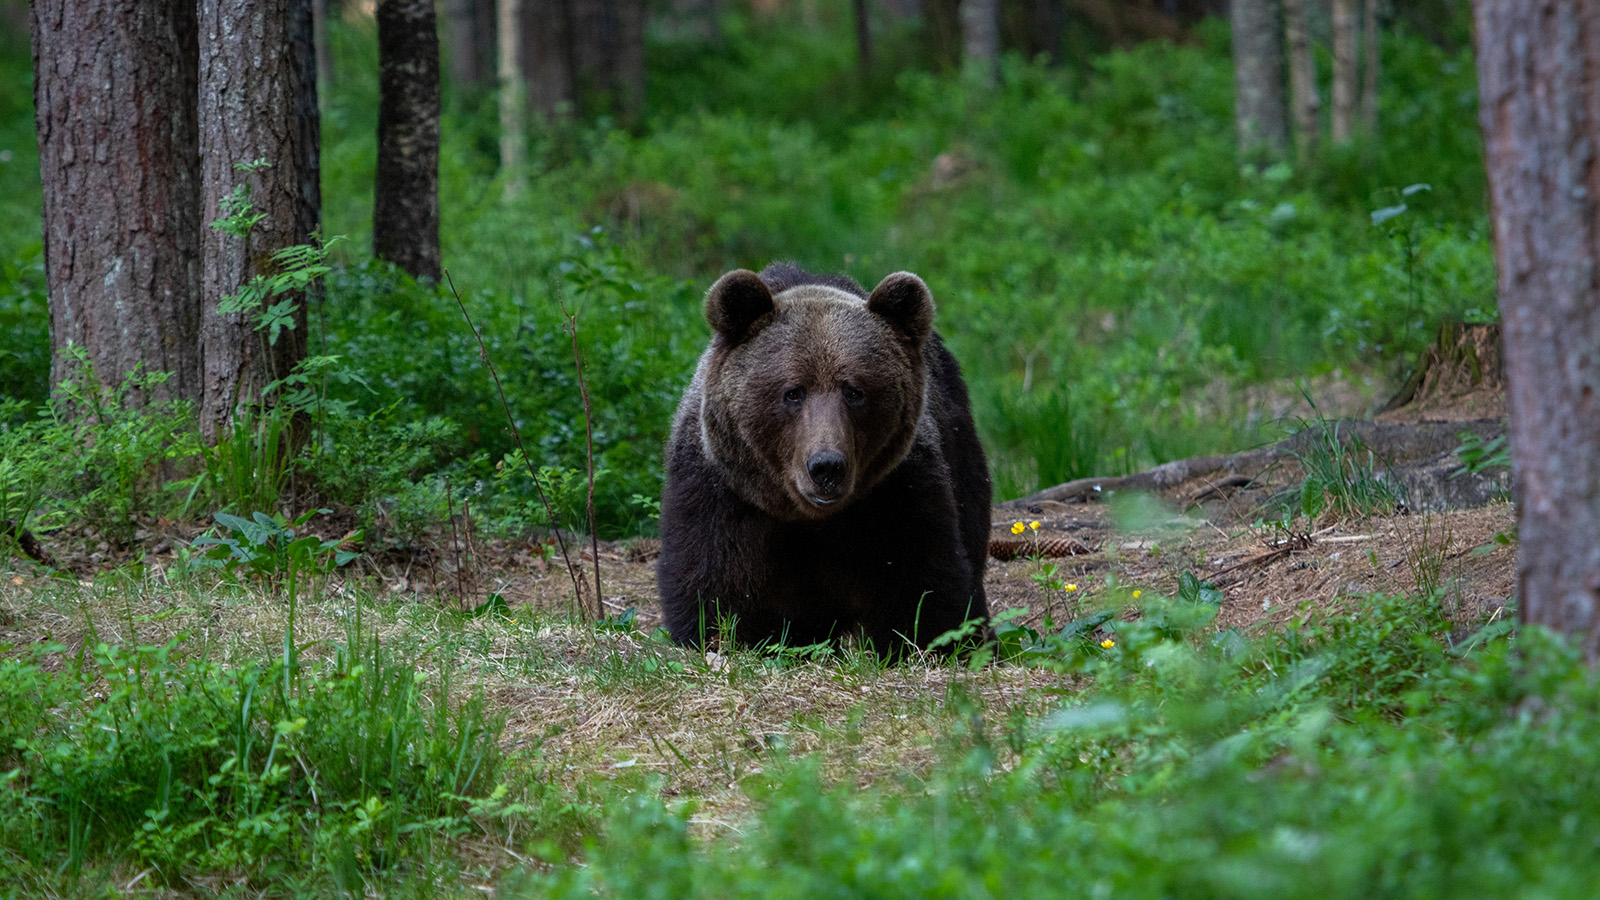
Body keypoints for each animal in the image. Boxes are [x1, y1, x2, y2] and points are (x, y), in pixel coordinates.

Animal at [656, 261, 992, 650]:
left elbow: (923, 586)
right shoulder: (721, 492)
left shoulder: (897, 493)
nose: (827, 467)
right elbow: (711, 584)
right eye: (793, 392)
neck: (807, 517)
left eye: (854, 391)